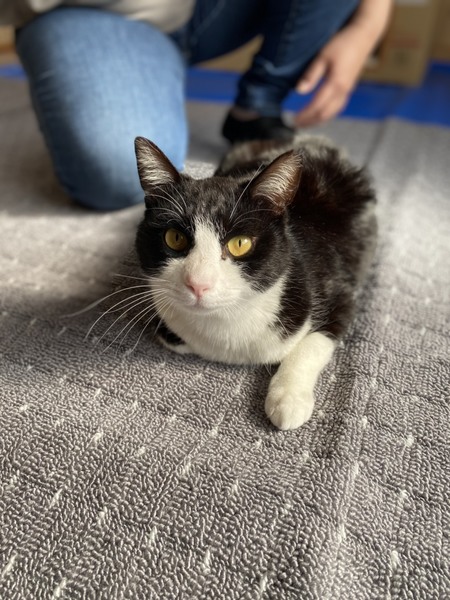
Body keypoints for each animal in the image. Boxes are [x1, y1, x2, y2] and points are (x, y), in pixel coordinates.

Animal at [132, 134, 377, 430]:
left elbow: (315, 341)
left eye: (240, 244)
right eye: (174, 238)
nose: (198, 283)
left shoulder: (340, 290)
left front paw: (288, 399)